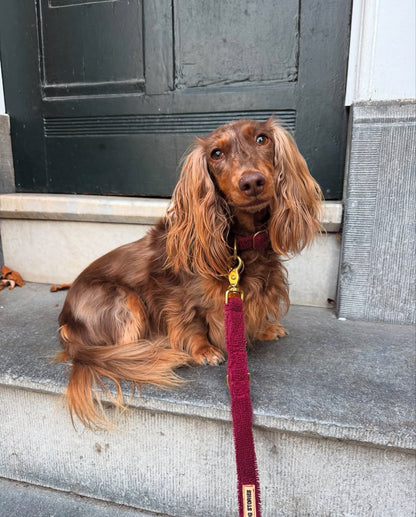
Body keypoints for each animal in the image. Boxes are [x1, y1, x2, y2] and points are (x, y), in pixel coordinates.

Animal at [57, 118, 322, 428]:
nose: (252, 182)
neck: (240, 242)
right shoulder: (176, 297)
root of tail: (66, 320)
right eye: (216, 154)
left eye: (262, 139)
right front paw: (204, 350)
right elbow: (192, 324)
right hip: (125, 299)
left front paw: (266, 329)